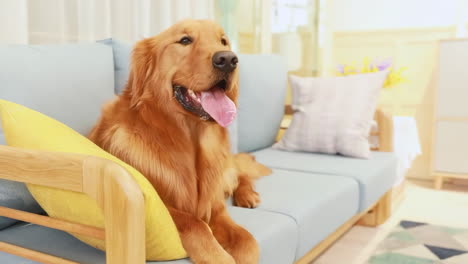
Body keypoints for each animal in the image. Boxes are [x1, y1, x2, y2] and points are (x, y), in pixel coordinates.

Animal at [89, 19, 268, 264]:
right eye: (184, 40)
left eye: (223, 41)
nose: (228, 59)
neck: (190, 143)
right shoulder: (161, 208)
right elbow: (195, 224)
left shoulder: (216, 207)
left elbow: (248, 241)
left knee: (238, 174)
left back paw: (248, 195)